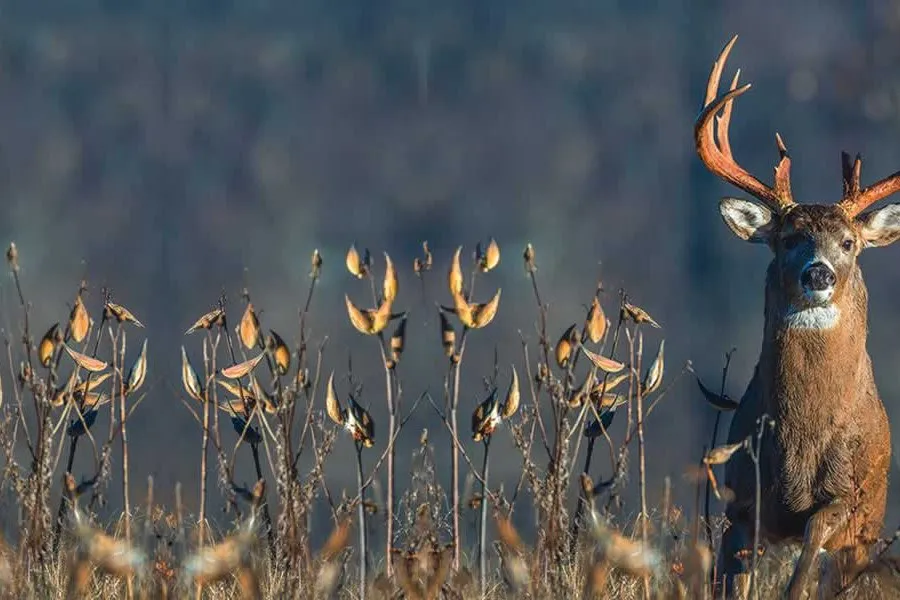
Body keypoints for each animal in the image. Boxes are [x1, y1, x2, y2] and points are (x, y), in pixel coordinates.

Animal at [695, 36, 900, 599]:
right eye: (789, 239)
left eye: (849, 242)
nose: (819, 273)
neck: (800, 445)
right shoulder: (742, 499)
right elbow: (729, 580)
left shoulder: (845, 499)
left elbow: (805, 565)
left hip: (868, 530)